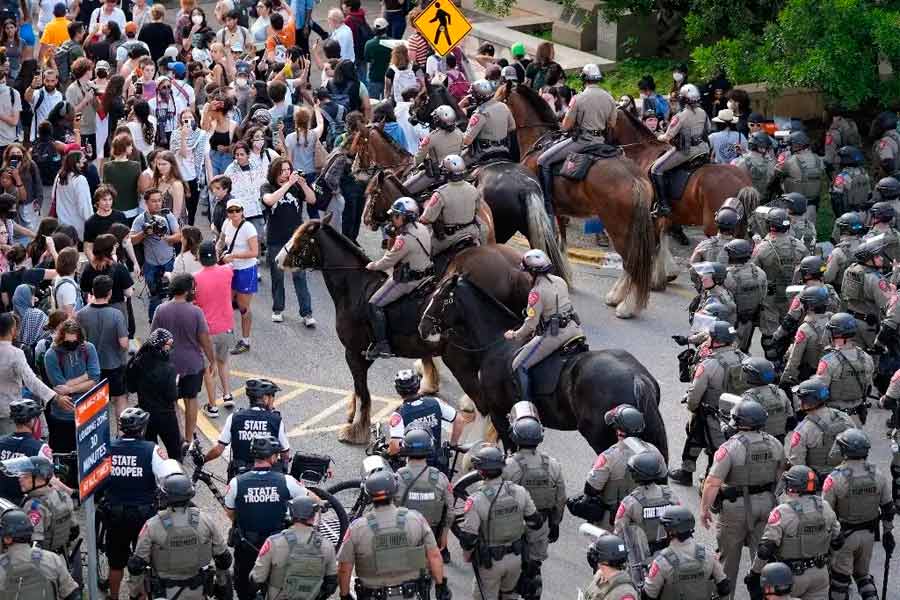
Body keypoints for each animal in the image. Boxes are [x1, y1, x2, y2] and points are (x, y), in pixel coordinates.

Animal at [420, 274, 668, 458]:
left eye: (440, 297)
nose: (423, 327)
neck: (497, 342)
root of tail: (638, 377)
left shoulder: (499, 413)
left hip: (601, 437)